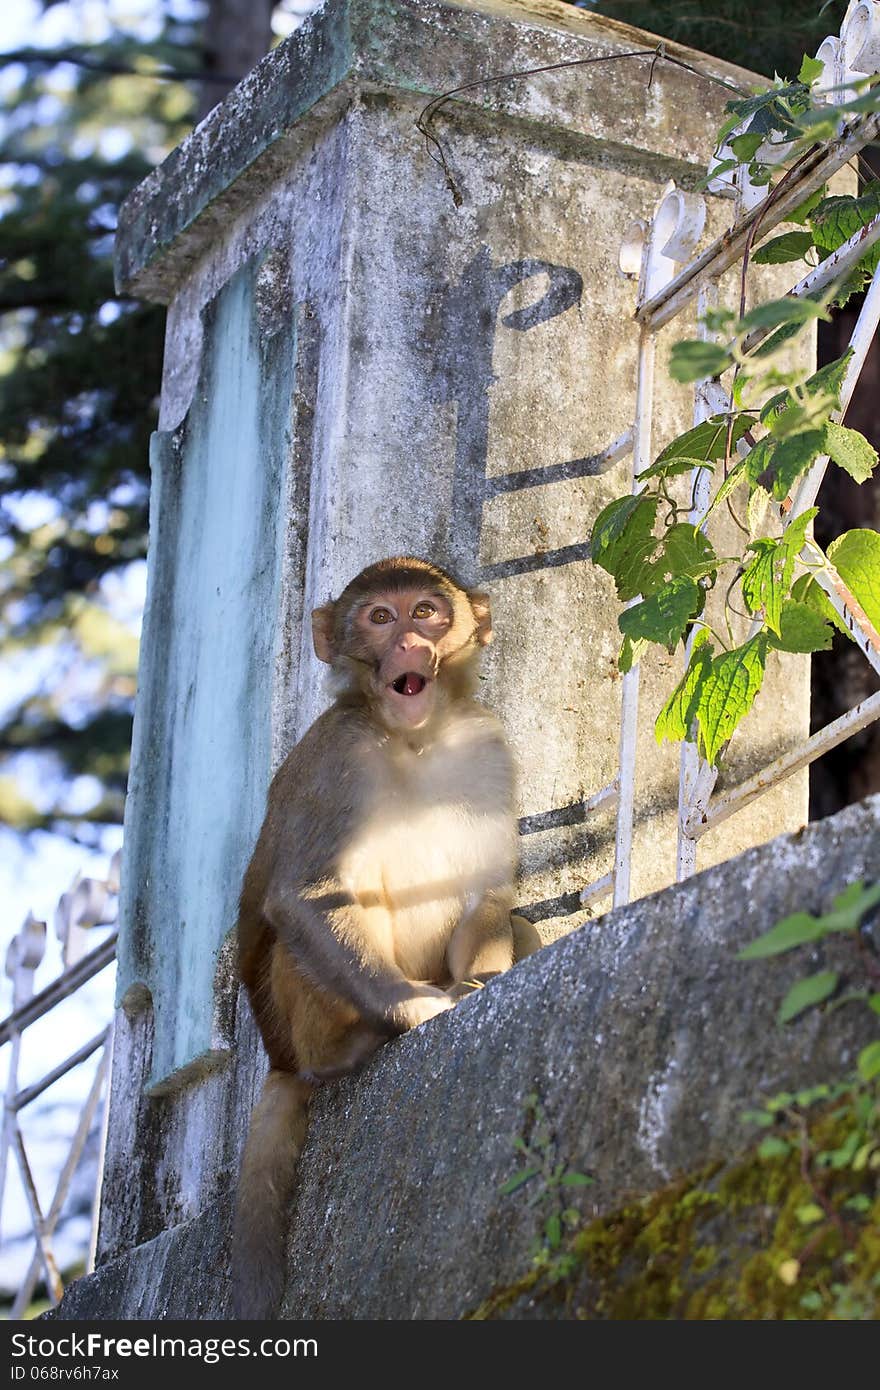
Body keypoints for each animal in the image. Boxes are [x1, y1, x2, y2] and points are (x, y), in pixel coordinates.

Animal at [229, 550, 539, 1312]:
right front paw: (417, 1010)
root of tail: (277, 1058)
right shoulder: (334, 757)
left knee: (517, 923)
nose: (408, 644)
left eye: (425, 611)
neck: (416, 736)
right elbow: (305, 898)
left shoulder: (487, 744)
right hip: (296, 1023)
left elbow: (492, 894)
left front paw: (487, 981)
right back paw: (348, 1050)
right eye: (378, 617)